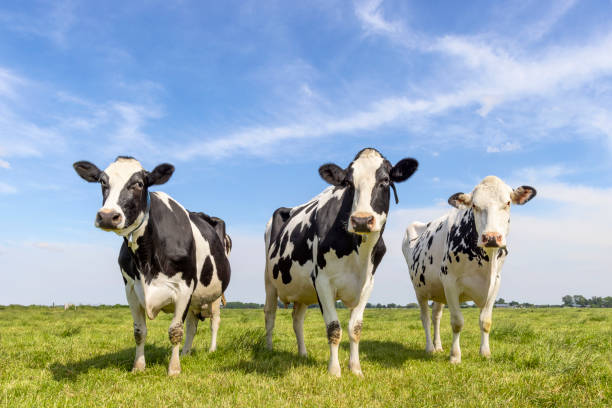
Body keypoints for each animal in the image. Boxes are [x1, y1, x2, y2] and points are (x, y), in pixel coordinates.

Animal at [73, 156, 231, 376]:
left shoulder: (184, 287)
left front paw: (173, 370)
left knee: (214, 322)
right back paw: (186, 353)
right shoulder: (131, 289)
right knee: (192, 325)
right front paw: (139, 367)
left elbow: (175, 331)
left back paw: (211, 350)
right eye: (102, 182)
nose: (107, 216)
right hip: (195, 299)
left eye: (139, 184)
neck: (146, 258)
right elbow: (139, 331)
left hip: (215, 294)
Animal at [266, 147, 418, 376]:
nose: (362, 220)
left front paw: (355, 369)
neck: (358, 253)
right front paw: (335, 371)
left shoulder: (367, 284)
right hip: (269, 281)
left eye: (385, 180)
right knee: (270, 315)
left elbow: (355, 328)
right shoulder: (322, 281)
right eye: (348, 183)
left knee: (297, 320)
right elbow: (333, 327)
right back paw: (266, 349)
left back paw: (302, 353)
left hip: (302, 291)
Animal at [402, 175, 536, 364]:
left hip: (438, 290)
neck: (486, 261)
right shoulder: (450, 282)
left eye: (508, 203)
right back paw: (430, 348)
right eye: (474, 205)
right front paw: (455, 356)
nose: (491, 237)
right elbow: (457, 322)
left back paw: (438, 346)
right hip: (420, 289)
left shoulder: (495, 283)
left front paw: (485, 352)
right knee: (426, 318)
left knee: (436, 317)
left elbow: (485, 321)